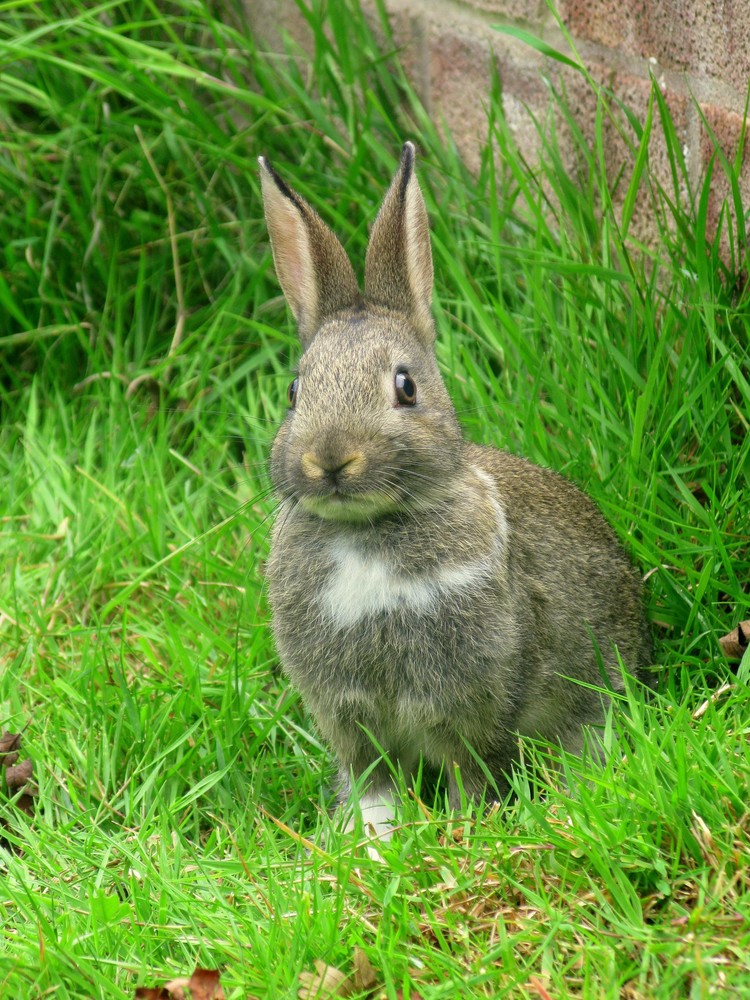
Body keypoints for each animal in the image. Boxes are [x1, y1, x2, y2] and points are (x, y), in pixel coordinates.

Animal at [258, 141, 652, 840]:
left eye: (405, 387)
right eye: (294, 392)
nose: (328, 459)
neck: (368, 533)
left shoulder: (474, 700)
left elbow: (474, 773)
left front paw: (467, 833)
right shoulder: (354, 721)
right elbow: (373, 788)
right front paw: (371, 843)